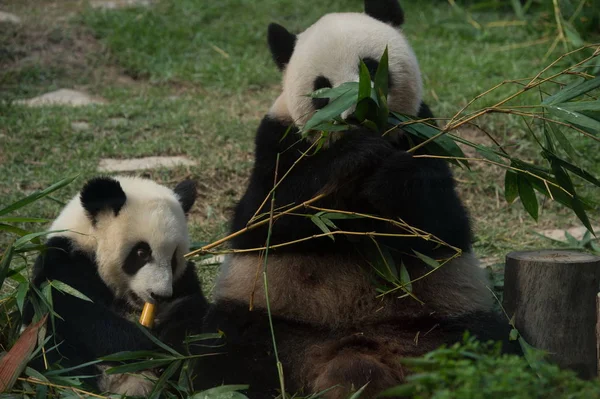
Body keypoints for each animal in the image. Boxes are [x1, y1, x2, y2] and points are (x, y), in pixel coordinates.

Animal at [24, 177, 209, 396]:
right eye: (141, 252)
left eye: (173, 258)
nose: (160, 295)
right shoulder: (64, 263)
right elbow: (76, 313)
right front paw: (148, 342)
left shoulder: (182, 282)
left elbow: (195, 315)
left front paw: (169, 342)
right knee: (53, 354)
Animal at [191, 0, 520, 399]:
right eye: (322, 89)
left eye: (371, 66)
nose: (357, 114)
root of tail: (351, 352)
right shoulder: (277, 139)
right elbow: (262, 216)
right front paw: (355, 155)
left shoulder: (425, 132)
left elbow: (445, 224)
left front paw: (390, 175)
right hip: (267, 314)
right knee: (225, 351)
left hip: (442, 318)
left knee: (489, 343)